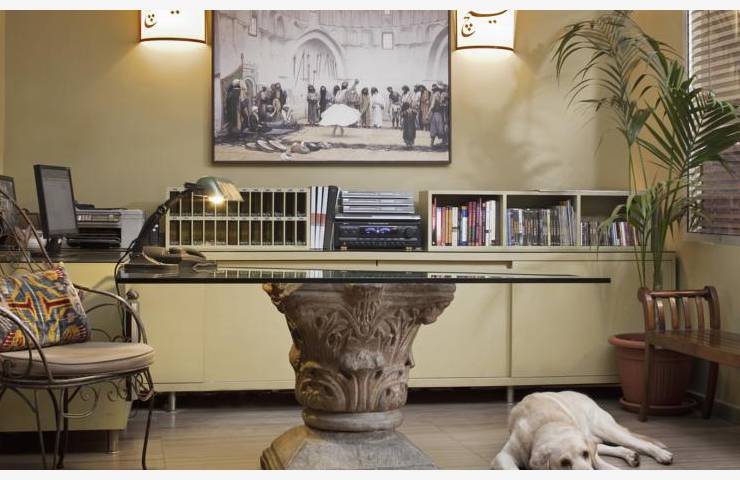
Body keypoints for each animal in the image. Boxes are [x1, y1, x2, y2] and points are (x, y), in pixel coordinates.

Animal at [491, 391, 673, 469]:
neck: (546, 423)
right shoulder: (503, 456)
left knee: (640, 443)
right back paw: (630, 455)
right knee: (608, 447)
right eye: (564, 463)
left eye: (584, 454)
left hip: (607, 430)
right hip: (591, 436)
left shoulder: (591, 456)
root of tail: (584, 395)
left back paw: (662, 454)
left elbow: (604, 466)